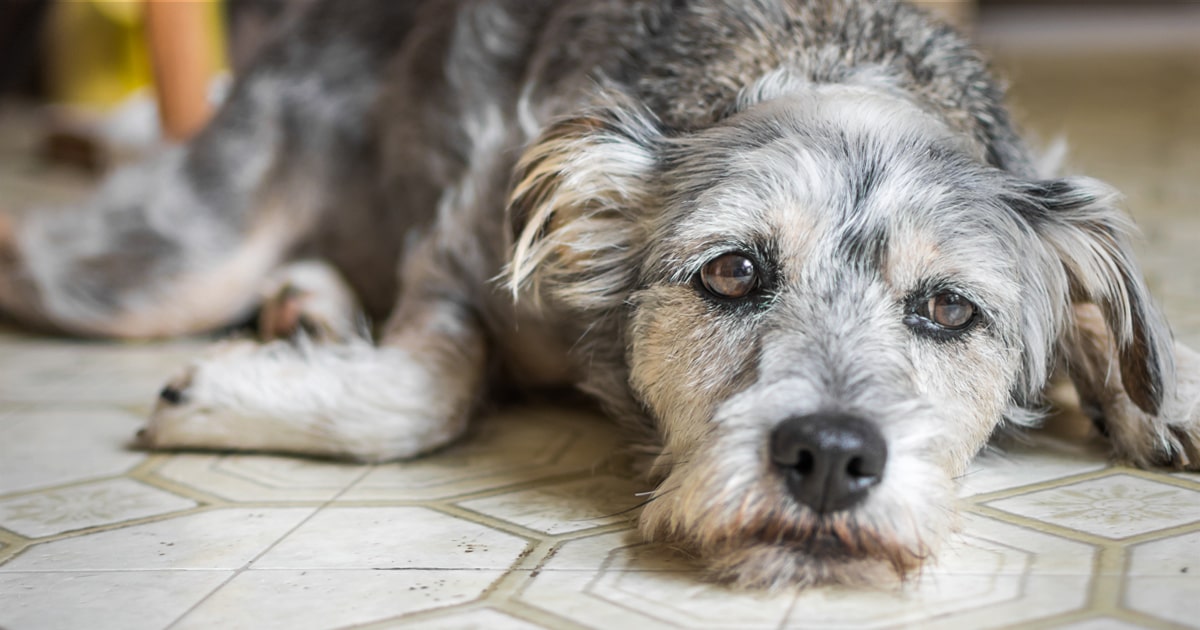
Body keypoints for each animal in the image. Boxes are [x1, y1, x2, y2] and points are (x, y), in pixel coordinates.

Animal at [2, 0, 1200, 590]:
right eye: (732, 271)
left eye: (949, 309)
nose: (827, 457)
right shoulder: (465, 245)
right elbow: (427, 394)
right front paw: (228, 397)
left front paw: (1165, 390)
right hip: (155, 264)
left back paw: (310, 309)